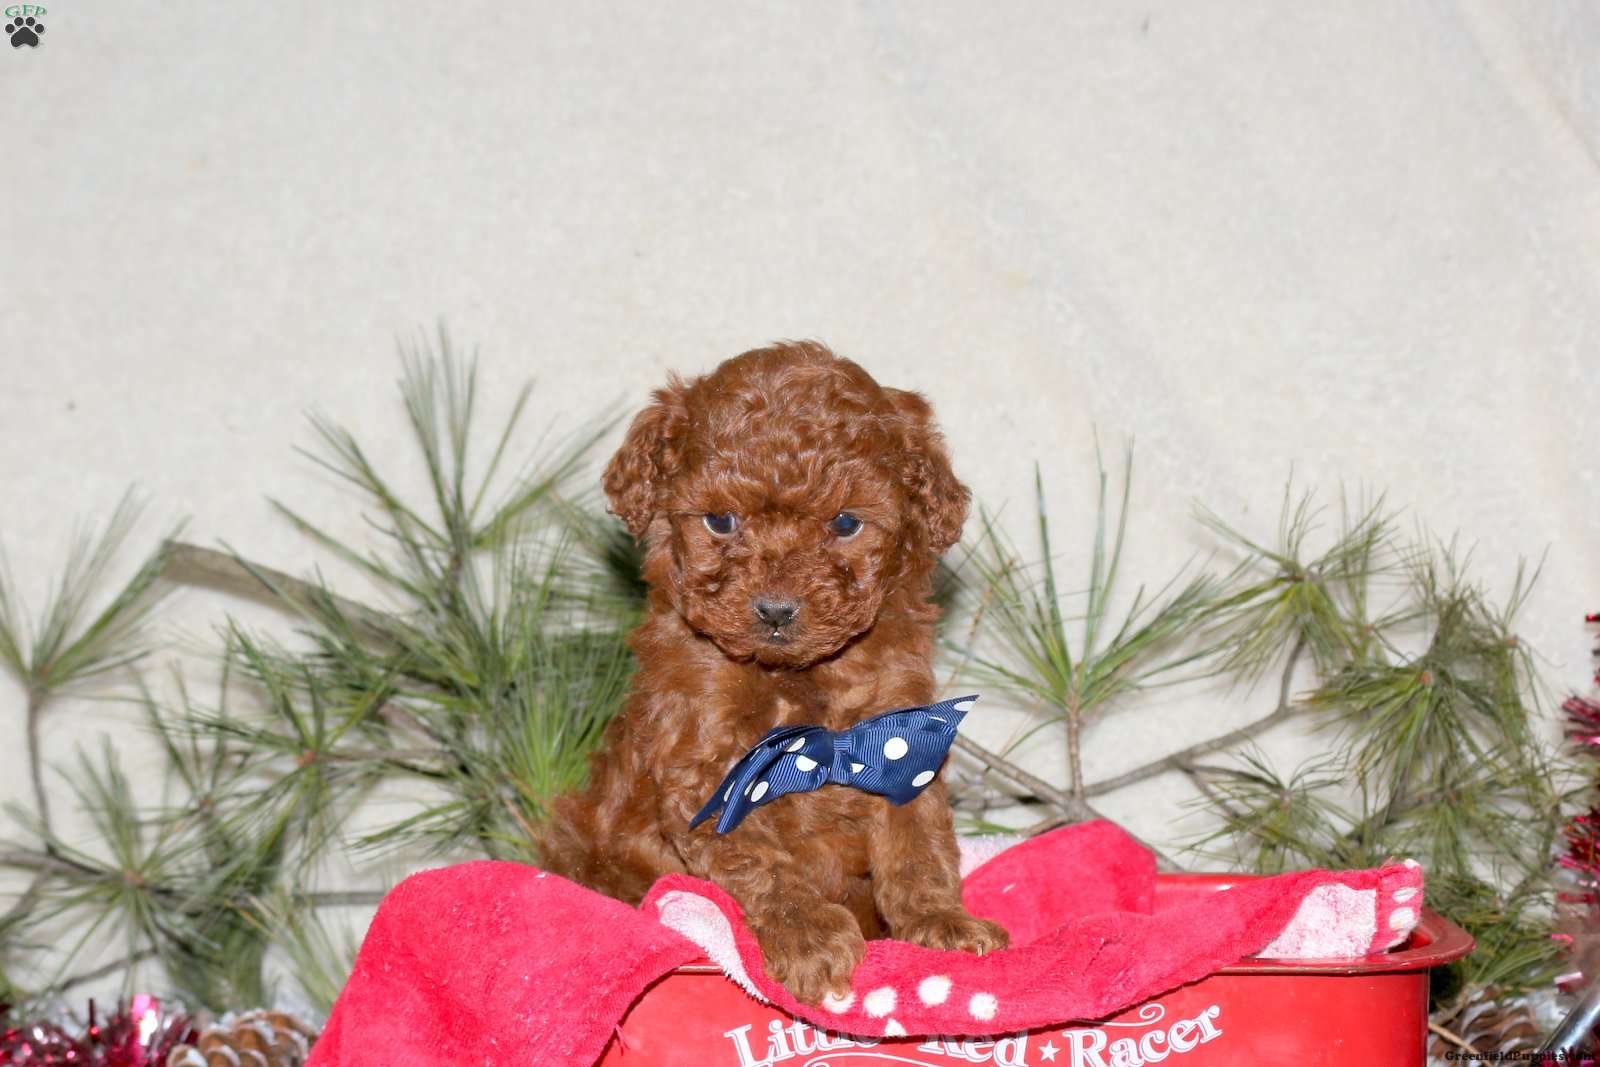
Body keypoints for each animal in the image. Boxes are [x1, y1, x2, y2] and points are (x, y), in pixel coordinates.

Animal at [537, 341, 1008, 1005]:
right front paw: (808, 936)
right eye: (720, 521)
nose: (777, 610)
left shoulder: (901, 737)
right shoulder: (706, 764)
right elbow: (759, 861)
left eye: (845, 523)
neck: (797, 679)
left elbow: (918, 841)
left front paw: (941, 921)